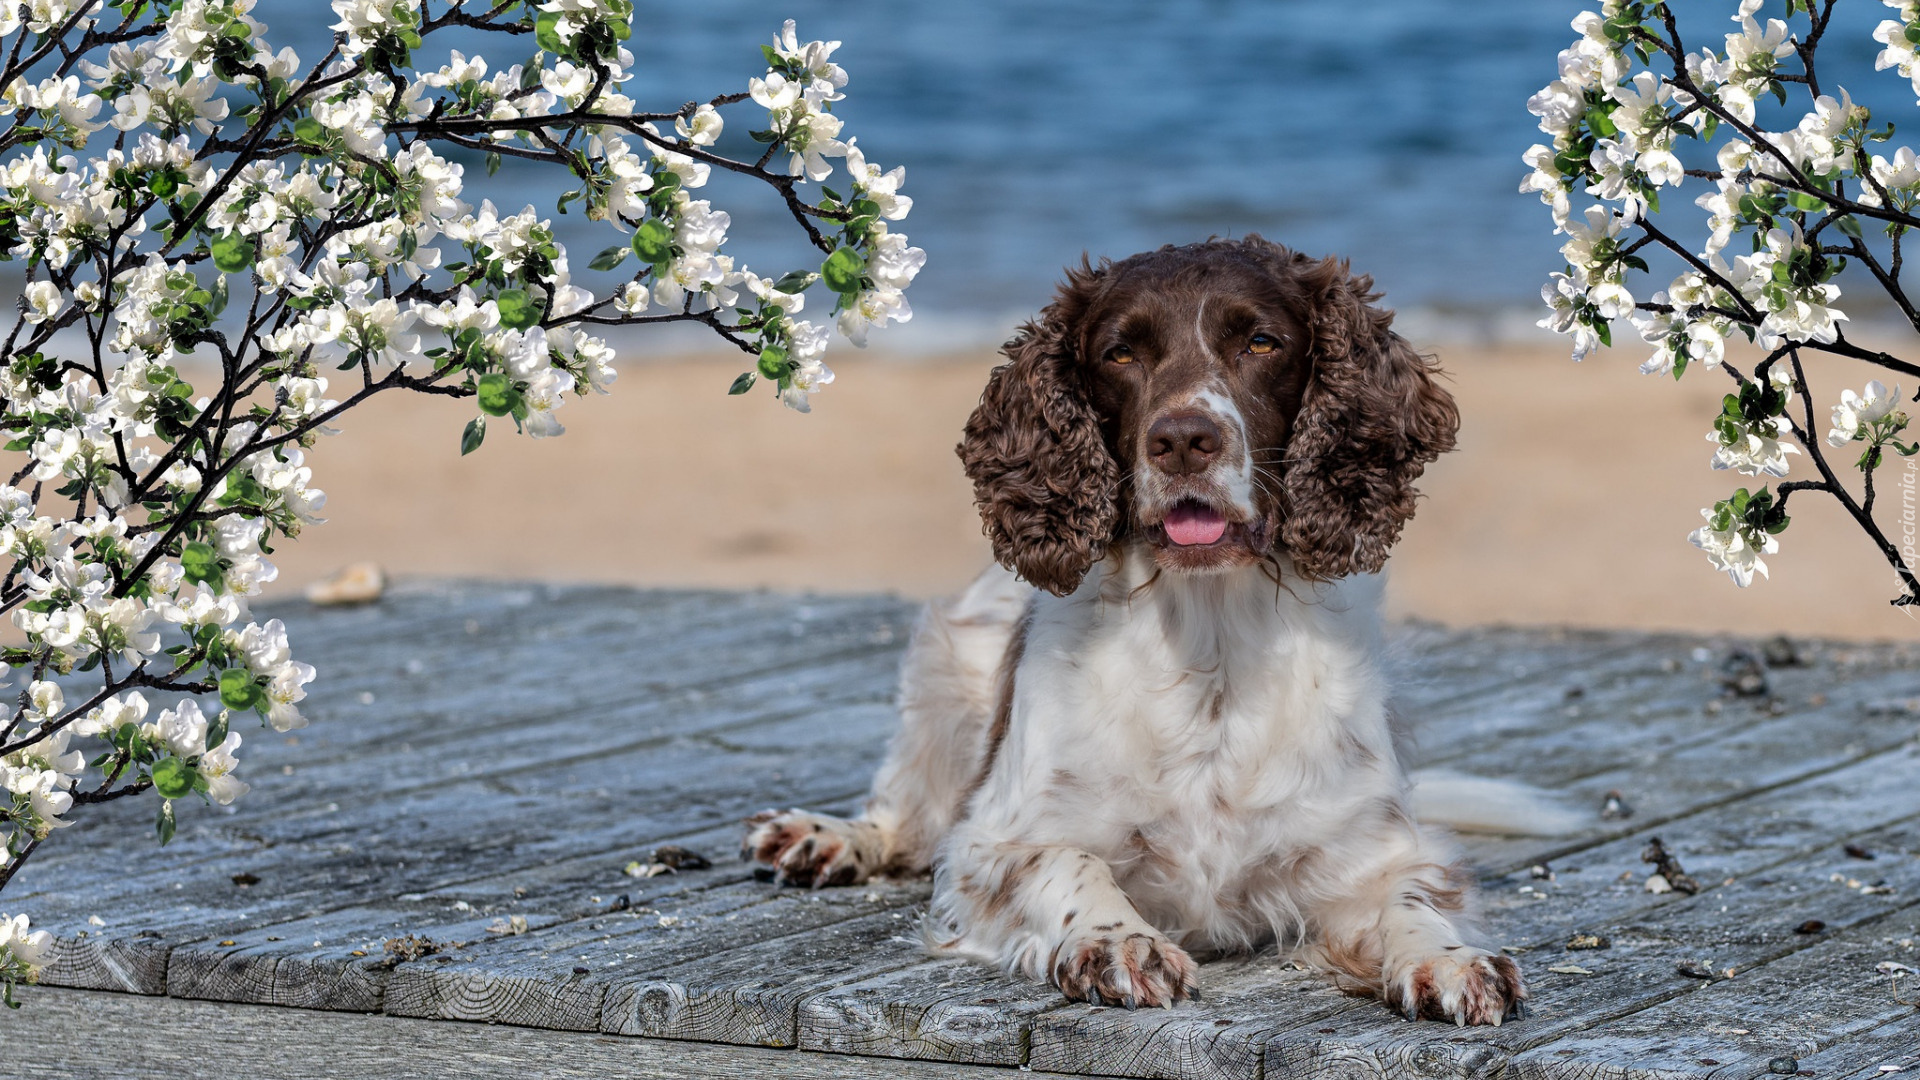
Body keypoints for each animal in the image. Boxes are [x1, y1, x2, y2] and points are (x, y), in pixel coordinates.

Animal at [744, 233, 1528, 1014]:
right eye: (1120, 353)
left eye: (1262, 342)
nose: (1183, 439)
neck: (1210, 641)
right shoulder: (989, 845)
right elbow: (1067, 859)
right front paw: (1119, 939)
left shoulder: (1373, 845)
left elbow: (1411, 895)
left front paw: (1449, 959)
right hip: (945, 668)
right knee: (907, 813)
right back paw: (826, 838)